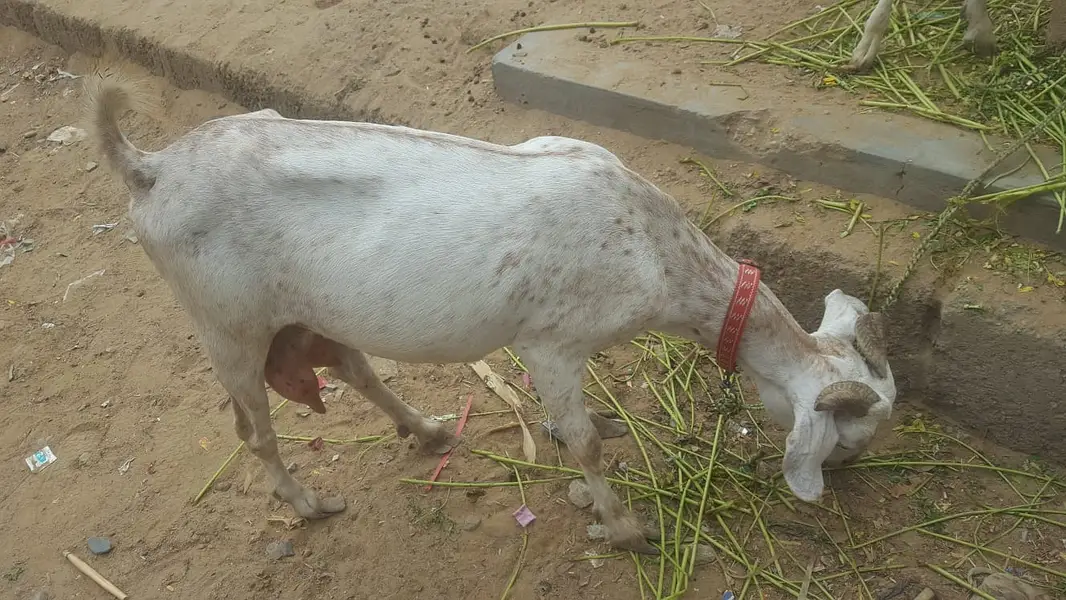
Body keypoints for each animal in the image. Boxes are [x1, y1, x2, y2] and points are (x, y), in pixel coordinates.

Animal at [86, 77, 896, 555]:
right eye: (850, 441)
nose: (856, 477)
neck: (657, 250)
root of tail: (151, 168)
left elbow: (581, 426)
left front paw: (598, 437)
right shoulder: (552, 342)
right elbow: (582, 443)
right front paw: (624, 526)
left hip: (307, 312)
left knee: (351, 365)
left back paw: (427, 430)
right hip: (226, 322)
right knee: (253, 430)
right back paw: (310, 504)